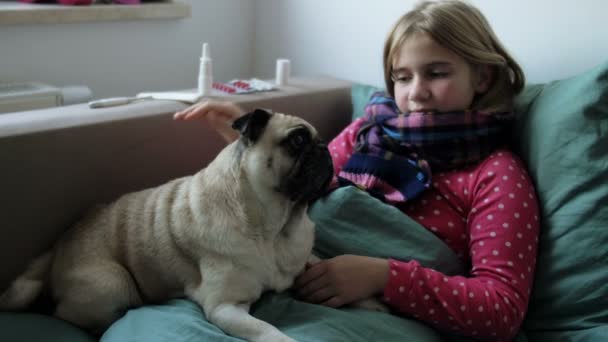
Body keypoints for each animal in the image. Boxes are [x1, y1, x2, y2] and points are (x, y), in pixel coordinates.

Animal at [0, 109, 332, 342]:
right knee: (62, 313)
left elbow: (319, 262)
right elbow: (267, 330)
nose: (325, 148)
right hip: (112, 284)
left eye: (319, 139)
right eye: (297, 141)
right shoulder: (225, 307)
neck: (276, 229)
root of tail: (55, 251)